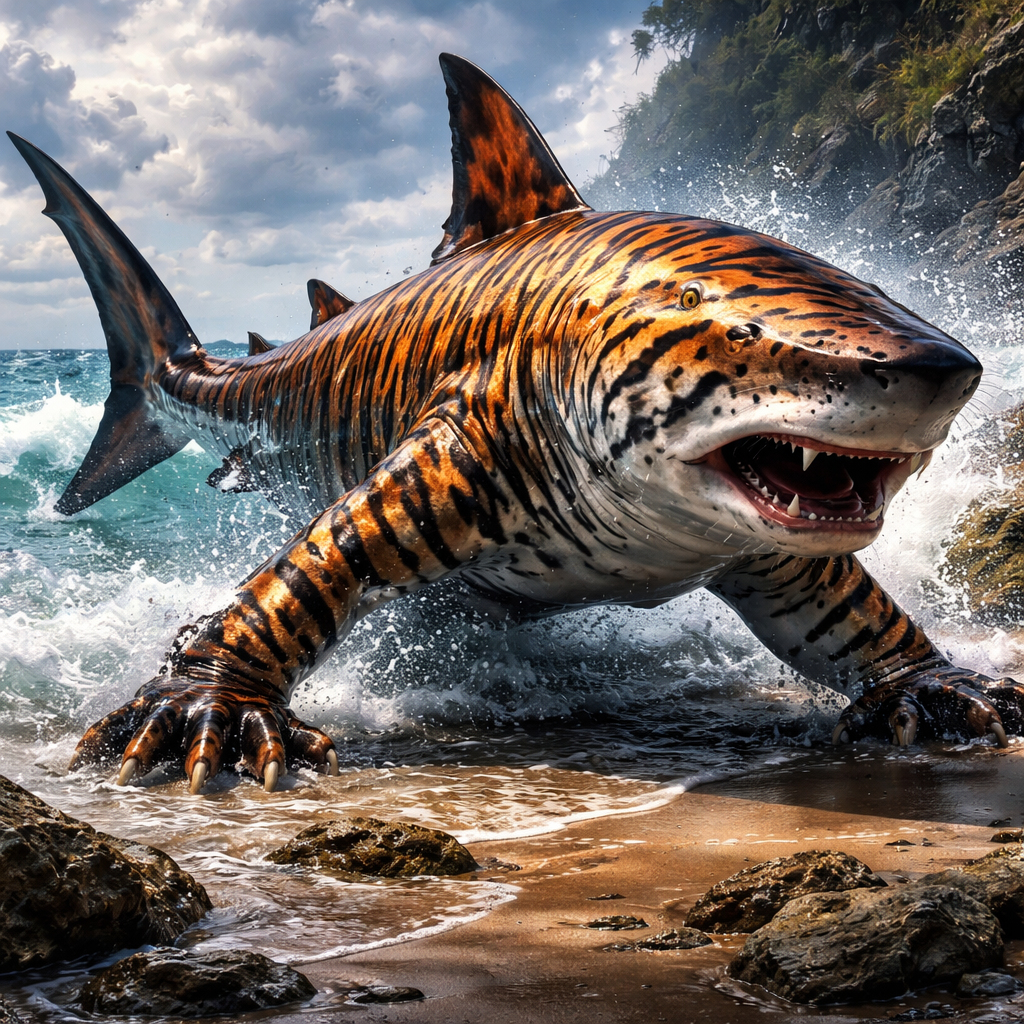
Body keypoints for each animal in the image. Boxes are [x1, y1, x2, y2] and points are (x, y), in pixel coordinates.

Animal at [8, 53, 1022, 795]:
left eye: (883, 295)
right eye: (743, 333)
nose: (945, 374)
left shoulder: (776, 557)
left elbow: (856, 622)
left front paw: (934, 686)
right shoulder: (457, 450)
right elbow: (299, 583)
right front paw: (206, 700)